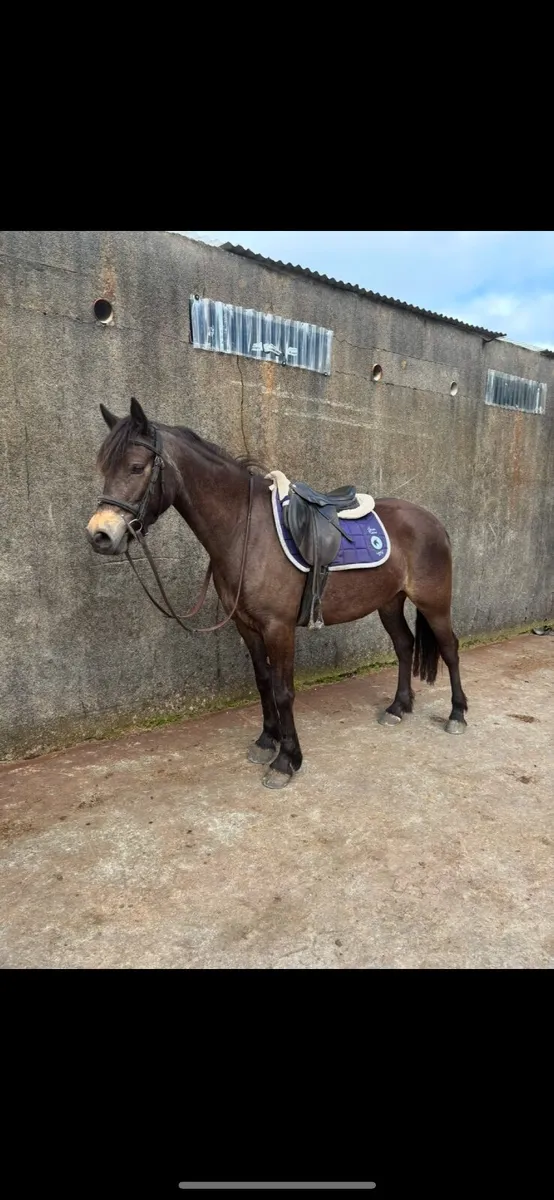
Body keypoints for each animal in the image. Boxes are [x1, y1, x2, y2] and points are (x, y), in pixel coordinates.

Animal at [86, 397, 468, 789]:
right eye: (104, 467)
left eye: (135, 467)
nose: (100, 535)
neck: (245, 531)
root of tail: (433, 522)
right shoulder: (247, 625)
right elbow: (263, 682)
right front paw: (266, 741)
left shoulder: (278, 628)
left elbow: (284, 691)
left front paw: (287, 760)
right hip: (389, 602)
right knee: (404, 645)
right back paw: (398, 708)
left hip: (434, 603)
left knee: (450, 648)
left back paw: (457, 714)